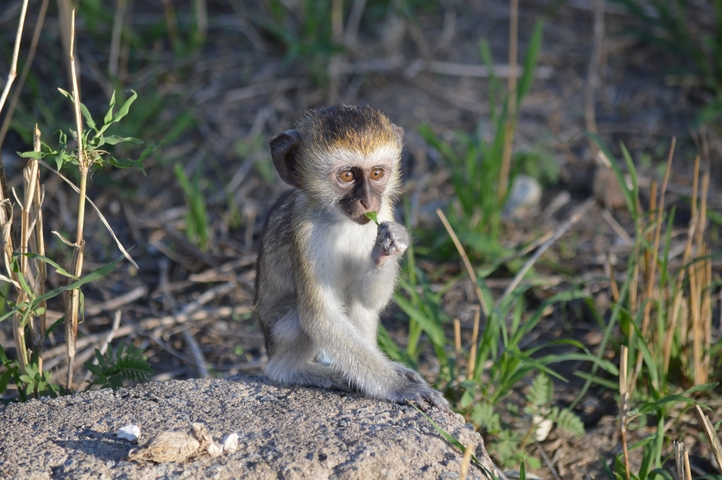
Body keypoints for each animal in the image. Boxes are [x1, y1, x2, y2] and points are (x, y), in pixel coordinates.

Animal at [254, 104, 449, 412]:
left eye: (377, 173)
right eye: (347, 176)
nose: (368, 202)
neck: (339, 220)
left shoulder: (385, 211)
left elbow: (368, 300)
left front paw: (388, 245)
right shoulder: (305, 235)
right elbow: (320, 316)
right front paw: (401, 388)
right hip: (279, 335)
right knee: (285, 350)